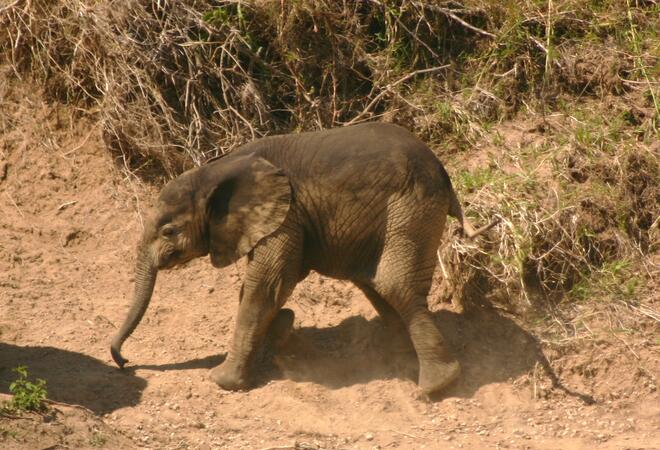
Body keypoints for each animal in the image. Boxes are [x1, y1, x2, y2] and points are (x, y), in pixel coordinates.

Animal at [111, 122, 498, 394]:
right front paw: (283, 329)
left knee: (395, 286)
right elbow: (269, 285)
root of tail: (445, 174)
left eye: (168, 231)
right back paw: (402, 362)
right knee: (375, 285)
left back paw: (434, 386)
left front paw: (222, 380)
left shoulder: (287, 214)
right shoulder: (286, 219)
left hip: (413, 207)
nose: (123, 361)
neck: (215, 170)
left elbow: (265, 286)